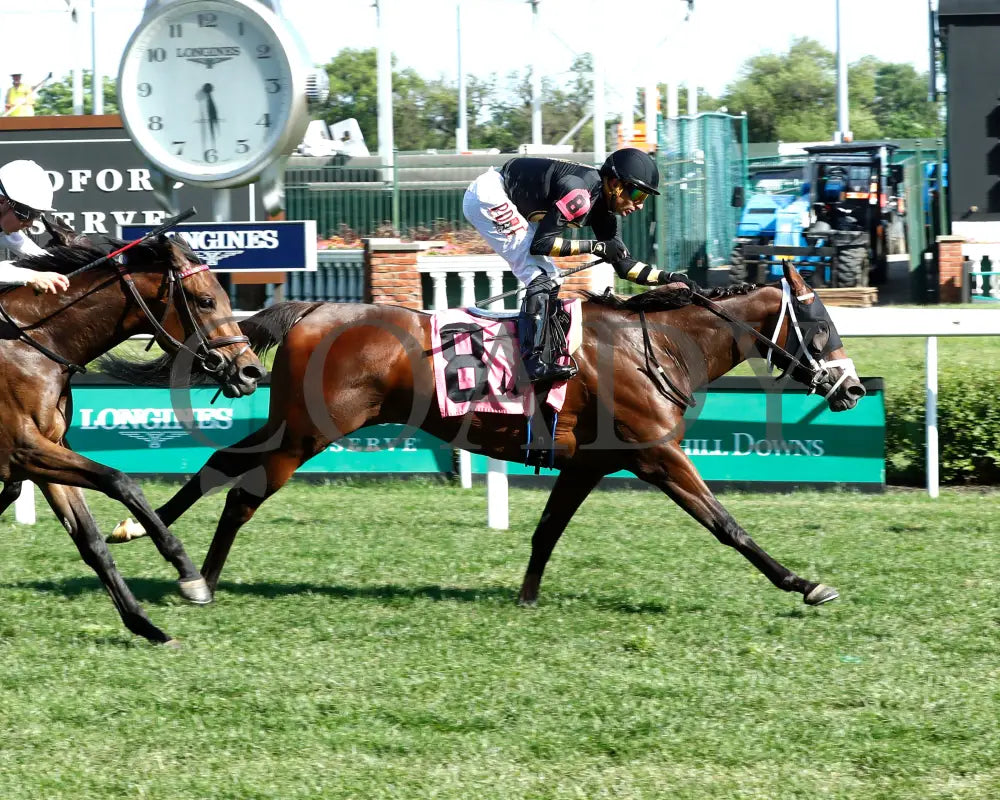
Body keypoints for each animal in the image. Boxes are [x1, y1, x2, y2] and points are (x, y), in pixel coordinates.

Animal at [0, 219, 266, 644]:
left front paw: (145, 624)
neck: (34, 344)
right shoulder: (23, 449)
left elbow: (91, 542)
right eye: (206, 301)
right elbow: (122, 482)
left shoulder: (43, 452)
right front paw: (190, 576)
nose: (250, 371)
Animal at [121, 266, 864, 608]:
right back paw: (205, 577)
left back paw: (151, 533)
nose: (852, 387)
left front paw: (528, 596)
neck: (652, 345)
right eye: (822, 326)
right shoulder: (658, 454)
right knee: (243, 493)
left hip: (291, 423)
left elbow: (547, 531)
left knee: (221, 460)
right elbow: (727, 524)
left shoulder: (592, 463)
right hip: (310, 432)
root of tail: (310, 308)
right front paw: (804, 583)